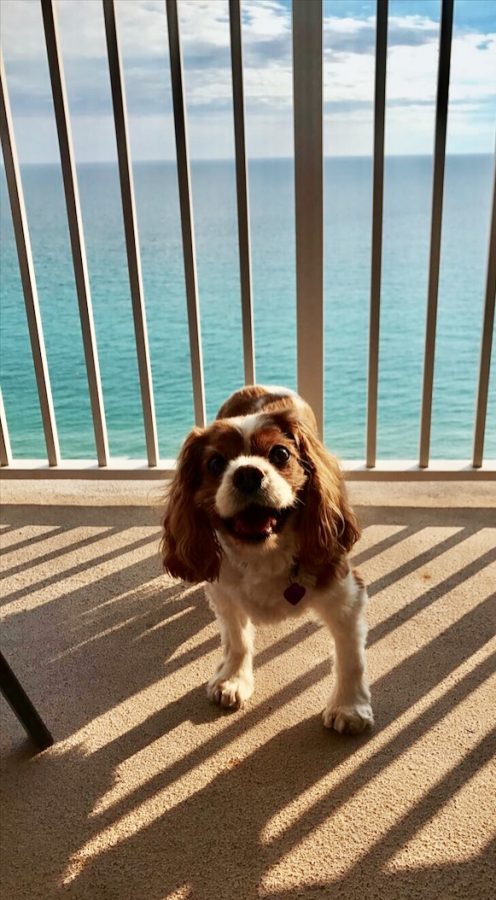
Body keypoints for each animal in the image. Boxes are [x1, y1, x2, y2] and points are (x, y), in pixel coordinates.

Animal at [161, 384, 374, 732]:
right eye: (216, 463)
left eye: (280, 454)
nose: (247, 473)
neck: (265, 553)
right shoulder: (224, 594)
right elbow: (236, 640)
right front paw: (233, 679)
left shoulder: (346, 596)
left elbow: (350, 658)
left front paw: (349, 706)